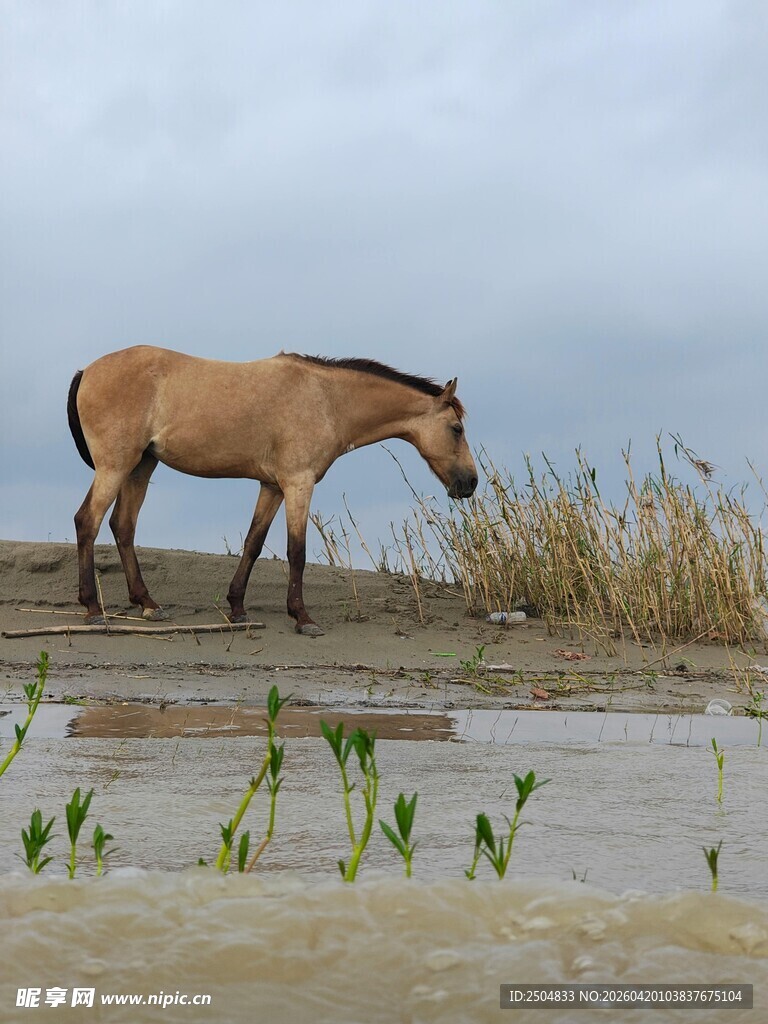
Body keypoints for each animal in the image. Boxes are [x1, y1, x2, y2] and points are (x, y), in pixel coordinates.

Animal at [67, 346, 478, 635]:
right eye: (456, 428)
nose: (470, 483)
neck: (327, 399)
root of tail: (87, 370)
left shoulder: (272, 486)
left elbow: (253, 543)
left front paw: (237, 609)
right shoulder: (298, 483)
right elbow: (297, 551)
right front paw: (303, 617)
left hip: (140, 467)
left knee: (122, 527)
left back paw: (148, 603)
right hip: (116, 467)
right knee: (88, 521)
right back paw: (93, 610)